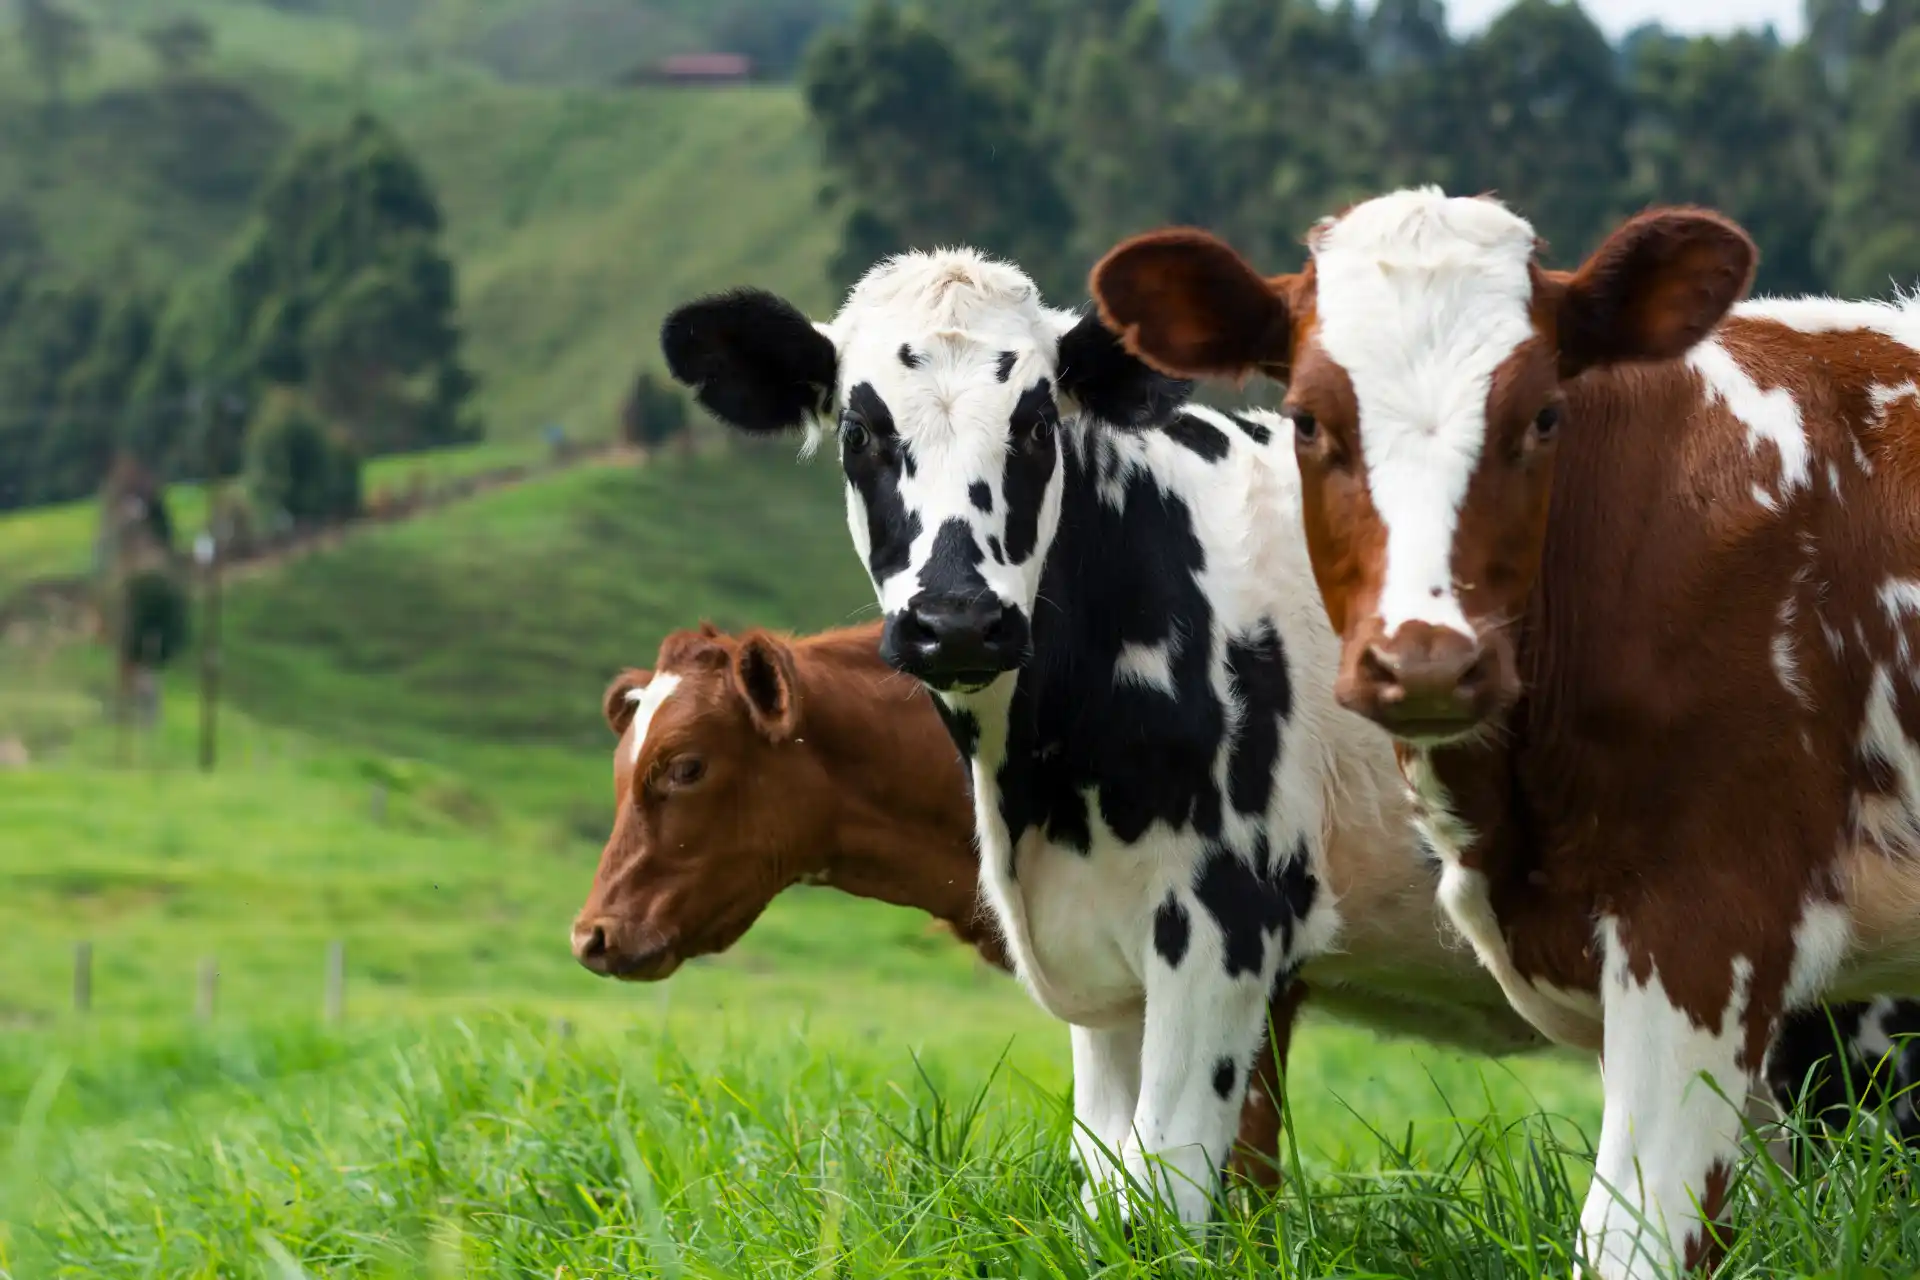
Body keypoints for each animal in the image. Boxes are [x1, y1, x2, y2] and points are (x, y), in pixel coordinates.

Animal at [664, 247, 1920, 1220]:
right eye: (859, 432)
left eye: (1035, 423)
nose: (958, 616)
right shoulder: (1102, 973)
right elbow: (1110, 1191)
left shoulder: (1224, 925)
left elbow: (1171, 1189)